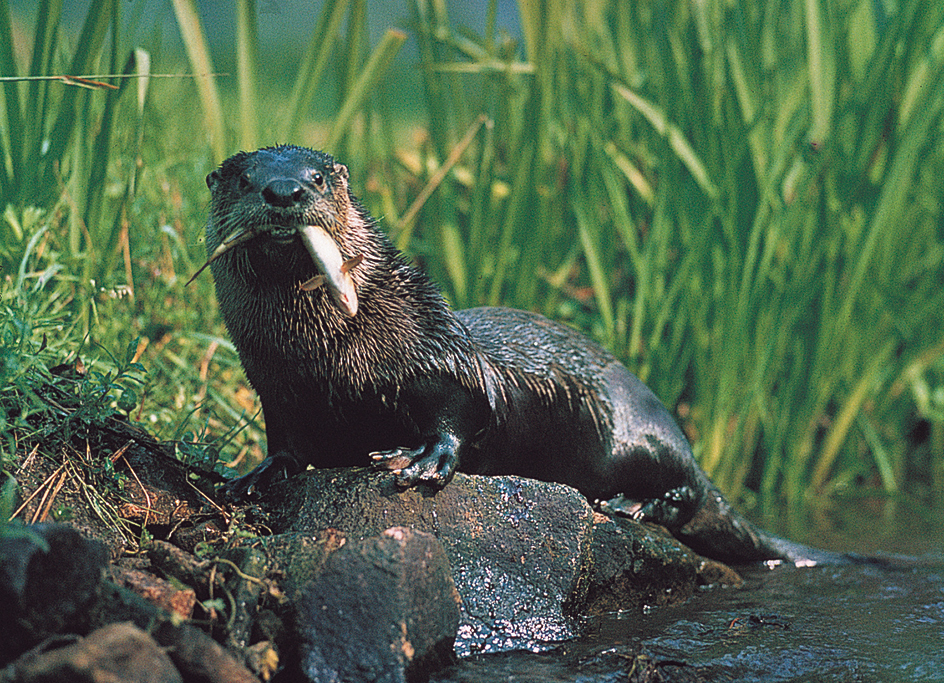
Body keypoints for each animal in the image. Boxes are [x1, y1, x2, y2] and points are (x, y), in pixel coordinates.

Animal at [201, 144, 840, 568]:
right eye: (244, 179)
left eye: (318, 178)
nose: (284, 192)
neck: (335, 364)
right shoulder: (276, 391)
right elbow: (285, 443)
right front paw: (252, 474)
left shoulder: (440, 355)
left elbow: (463, 413)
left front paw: (420, 459)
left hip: (636, 433)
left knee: (689, 491)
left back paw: (633, 503)